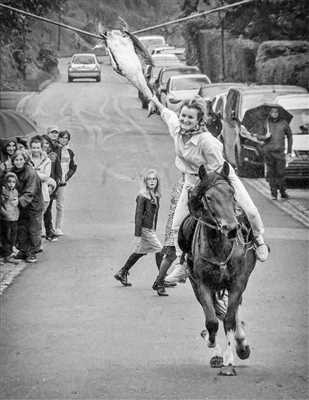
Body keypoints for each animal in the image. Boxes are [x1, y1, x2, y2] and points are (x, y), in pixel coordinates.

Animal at [178, 161, 255, 376]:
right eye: (209, 197)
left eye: (231, 193)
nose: (232, 228)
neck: (219, 246)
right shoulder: (202, 285)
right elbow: (212, 321)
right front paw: (213, 345)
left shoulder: (238, 283)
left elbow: (229, 319)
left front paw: (229, 362)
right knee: (216, 314)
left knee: (233, 313)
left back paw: (241, 345)